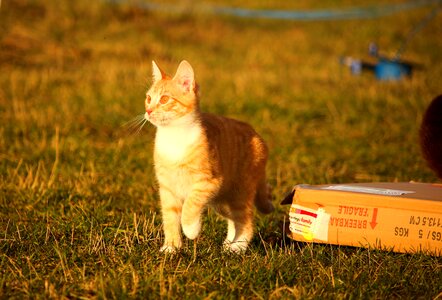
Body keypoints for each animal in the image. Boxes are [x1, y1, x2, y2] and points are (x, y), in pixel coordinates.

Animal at [143, 59, 272, 252]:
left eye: (164, 99)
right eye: (149, 98)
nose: (149, 111)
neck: (174, 136)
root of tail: (257, 134)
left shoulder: (208, 182)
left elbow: (190, 205)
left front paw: (191, 229)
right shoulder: (167, 188)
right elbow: (170, 218)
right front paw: (171, 247)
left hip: (240, 191)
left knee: (245, 220)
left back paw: (237, 247)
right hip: (221, 201)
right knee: (233, 220)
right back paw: (228, 243)